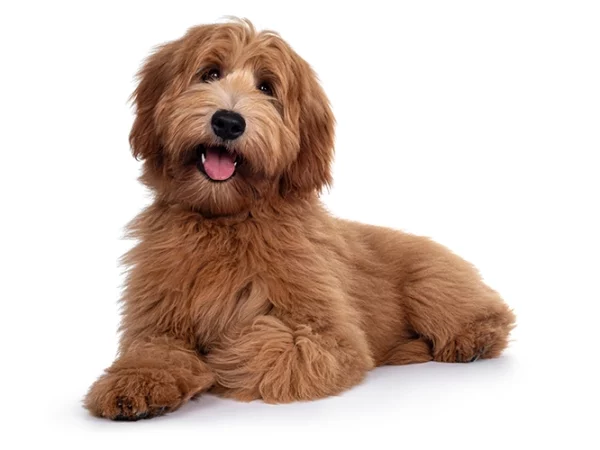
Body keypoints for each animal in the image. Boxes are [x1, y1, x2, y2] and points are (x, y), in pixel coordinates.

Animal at [84, 19, 516, 422]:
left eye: (267, 87)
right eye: (209, 73)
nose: (228, 122)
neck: (226, 221)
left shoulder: (329, 337)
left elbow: (264, 342)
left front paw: (214, 357)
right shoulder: (158, 320)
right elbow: (154, 350)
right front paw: (136, 383)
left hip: (431, 282)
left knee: (488, 313)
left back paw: (474, 339)